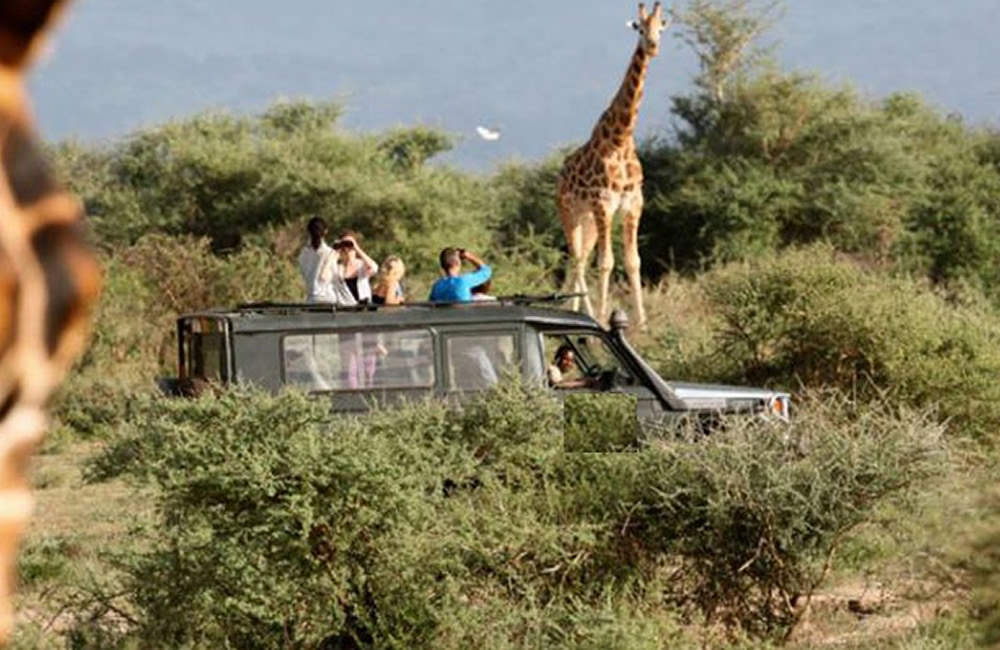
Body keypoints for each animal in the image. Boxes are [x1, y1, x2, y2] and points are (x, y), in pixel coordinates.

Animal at [560, 0, 668, 324]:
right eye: (640, 28)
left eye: (661, 28)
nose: (653, 46)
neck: (620, 140)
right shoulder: (603, 202)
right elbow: (606, 262)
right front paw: (604, 315)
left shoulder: (633, 202)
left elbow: (634, 260)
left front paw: (642, 322)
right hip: (570, 212)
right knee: (578, 259)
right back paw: (586, 313)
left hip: (588, 221)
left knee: (579, 259)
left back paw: (572, 310)